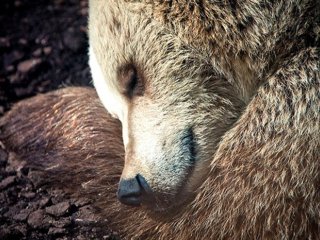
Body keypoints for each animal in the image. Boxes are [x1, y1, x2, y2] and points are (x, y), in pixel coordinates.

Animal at [0, 0, 320, 239]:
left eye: (132, 76)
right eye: (115, 113)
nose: (132, 188)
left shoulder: (299, 106)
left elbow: (218, 215)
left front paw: (33, 113)